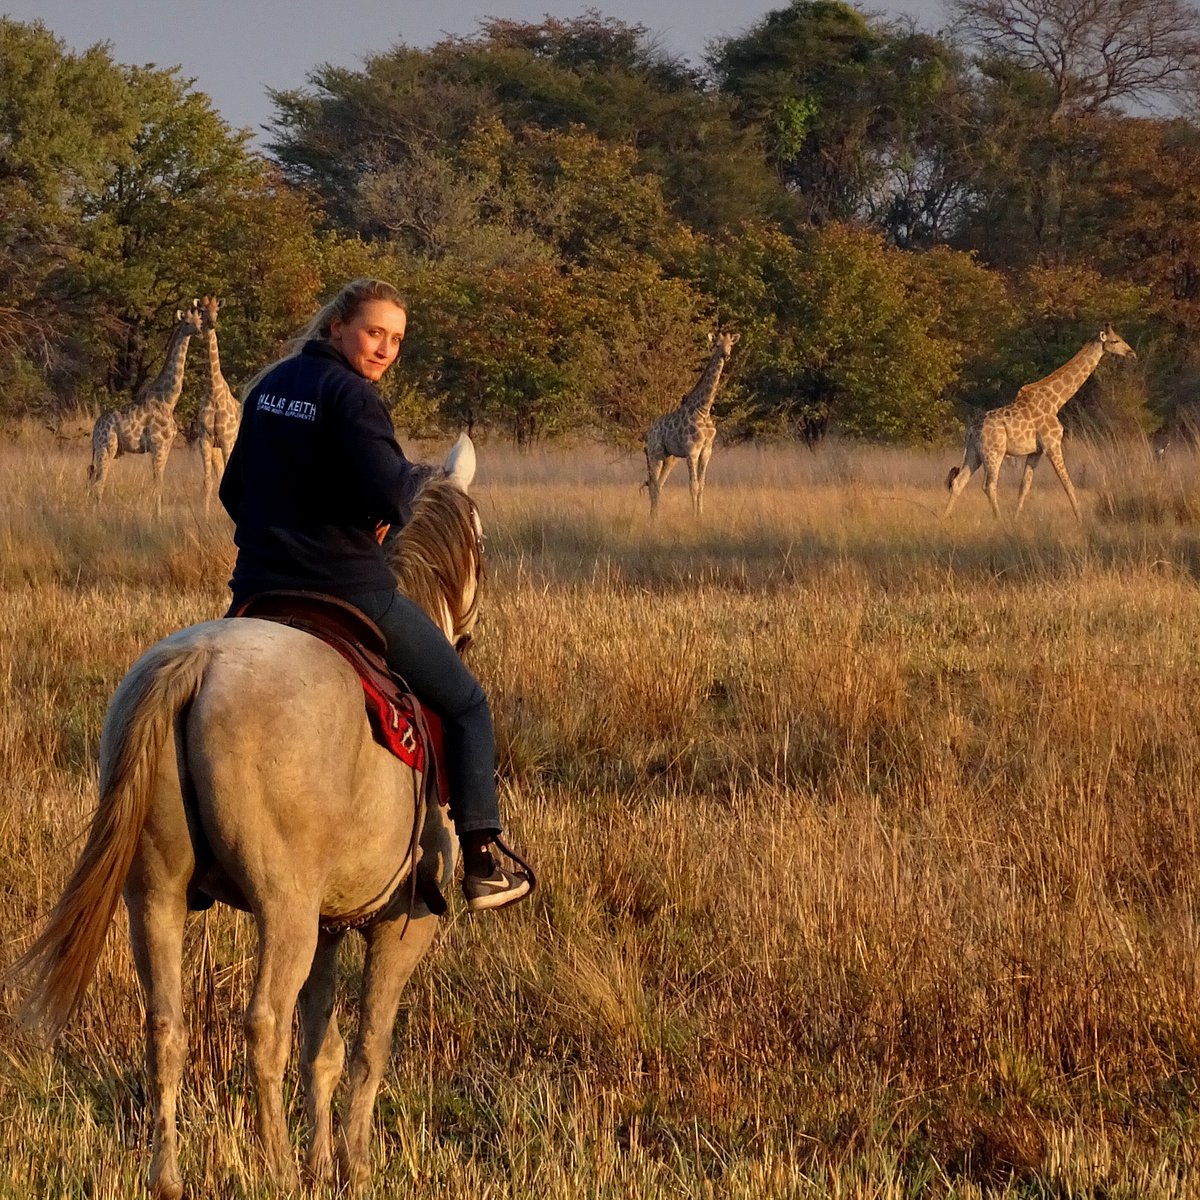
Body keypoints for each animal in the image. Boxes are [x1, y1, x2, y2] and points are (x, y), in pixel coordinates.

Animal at [12, 436, 482, 1195]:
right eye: (481, 540)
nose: (467, 635)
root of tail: (197, 662)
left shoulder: (331, 927)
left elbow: (324, 1048)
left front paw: (325, 1164)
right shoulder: (402, 924)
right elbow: (366, 1048)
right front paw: (351, 1167)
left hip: (156, 894)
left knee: (165, 1025)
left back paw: (169, 1174)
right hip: (282, 909)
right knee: (264, 1023)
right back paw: (279, 1169)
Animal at [88, 302, 202, 513]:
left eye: (199, 320)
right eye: (187, 322)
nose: (199, 331)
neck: (169, 400)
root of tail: (95, 428)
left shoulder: (167, 447)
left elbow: (159, 482)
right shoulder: (158, 445)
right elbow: (158, 483)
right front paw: (157, 516)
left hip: (104, 449)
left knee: (93, 478)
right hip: (106, 446)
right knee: (99, 481)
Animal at [648, 328, 739, 516]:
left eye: (730, 345)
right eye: (717, 345)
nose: (726, 355)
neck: (703, 409)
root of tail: (648, 432)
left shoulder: (706, 451)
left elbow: (702, 485)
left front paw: (701, 514)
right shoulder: (692, 451)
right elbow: (693, 485)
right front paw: (694, 516)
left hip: (669, 457)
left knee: (659, 485)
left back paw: (656, 516)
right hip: (656, 453)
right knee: (653, 485)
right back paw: (652, 517)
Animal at [945, 324, 1132, 520]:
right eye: (1115, 341)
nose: (1131, 353)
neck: (1056, 401)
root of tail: (972, 430)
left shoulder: (1035, 451)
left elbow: (1024, 487)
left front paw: (1016, 519)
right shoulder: (1052, 445)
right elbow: (1067, 483)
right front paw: (1080, 518)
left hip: (974, 453)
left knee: (958, 482)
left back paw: (943, 518)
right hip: (994, 452)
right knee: (988, 485)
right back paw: (999, 519)